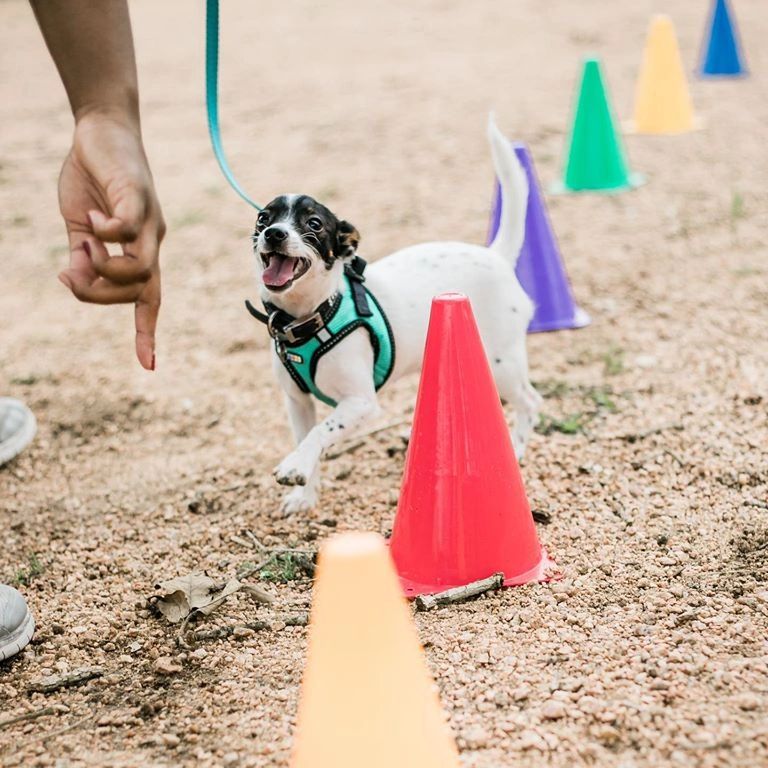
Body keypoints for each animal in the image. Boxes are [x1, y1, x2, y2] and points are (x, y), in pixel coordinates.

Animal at [250, 117, 540, 512]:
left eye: (314, 224)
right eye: (263, 218)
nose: (273, 233)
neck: (310, 316)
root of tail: (495, 255)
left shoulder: (360, 403)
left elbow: (321, 432)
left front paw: (295, 467)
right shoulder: (297, 402)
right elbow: (306, 437)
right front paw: (304, 494)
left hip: (502, 364)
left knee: (531, 401)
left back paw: (518, 448)